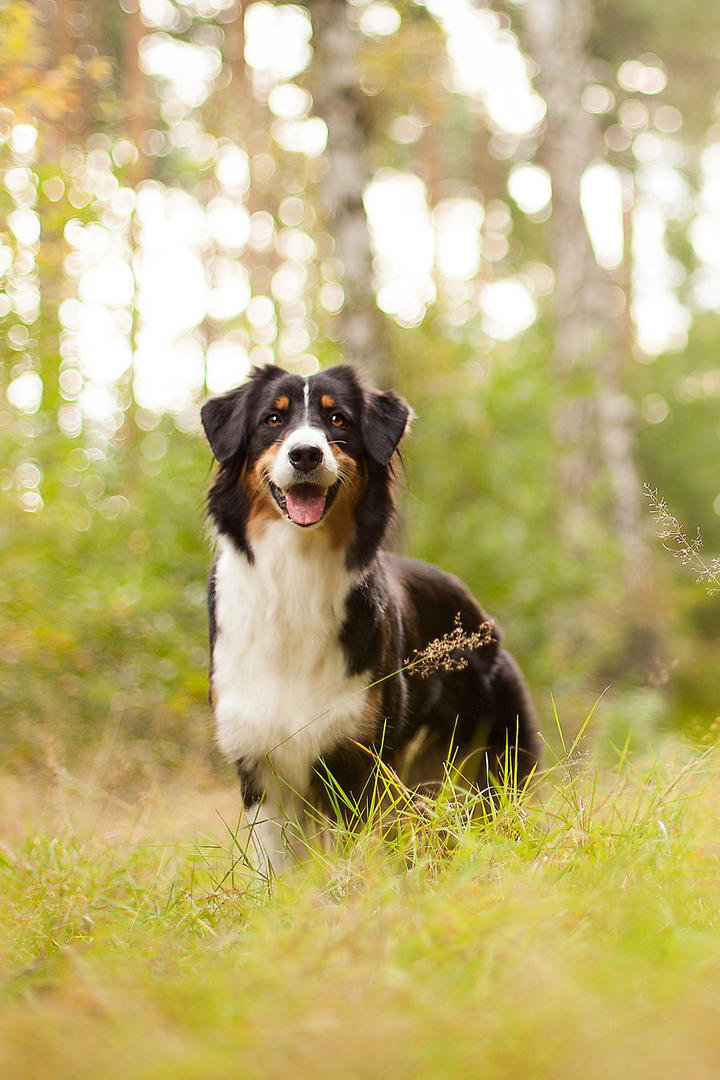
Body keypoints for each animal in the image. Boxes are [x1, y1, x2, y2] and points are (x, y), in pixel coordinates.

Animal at [199, 362, 537, 868]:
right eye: (272, 420)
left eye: (337, 419)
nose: (305, 454)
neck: (296, 570)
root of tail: (483, 621)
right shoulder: (258, 758)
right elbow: (275, 865)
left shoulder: (358, 755)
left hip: (490, 758)